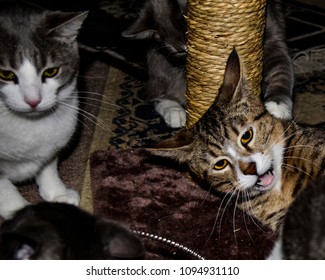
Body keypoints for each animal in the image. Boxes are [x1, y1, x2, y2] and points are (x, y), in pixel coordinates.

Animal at [0, 1, 87, 219]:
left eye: (51, 71)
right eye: (5, 74)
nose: (33, 100)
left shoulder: (52, 143)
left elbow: (48, 167)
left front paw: (58, 194)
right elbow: (4, 188)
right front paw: (20, 212)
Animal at [122, 0, 294, 128]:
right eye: (181, 51)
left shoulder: (271, 35)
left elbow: (280, 70)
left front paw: (277, 106)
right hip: (158, 60)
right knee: (159, 92)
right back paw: (175, 112)